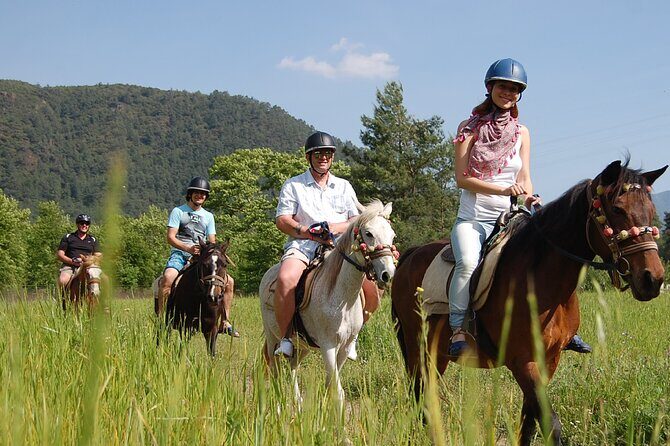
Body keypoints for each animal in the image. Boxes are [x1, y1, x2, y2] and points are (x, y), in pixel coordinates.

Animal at [259, 200, 397, 411]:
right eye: (368, 234)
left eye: (392, 235)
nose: (388, 274)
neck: (342, 300)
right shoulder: (328, 346)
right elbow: (337, 392)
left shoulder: (344, 348)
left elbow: (330, 385)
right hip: (272, 337)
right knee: (275, 372)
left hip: (302, 345)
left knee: (292, 368)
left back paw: (298, 403)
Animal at [391, 160, 667, 445]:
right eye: (617, 209)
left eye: (650, 210)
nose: (653, 279)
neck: (542, 280)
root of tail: (411, 255)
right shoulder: (522, 361)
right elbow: (550, 423)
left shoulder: (549, 360)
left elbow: (529, 422)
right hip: (416, 346)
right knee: (420, 394)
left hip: (436, 352)